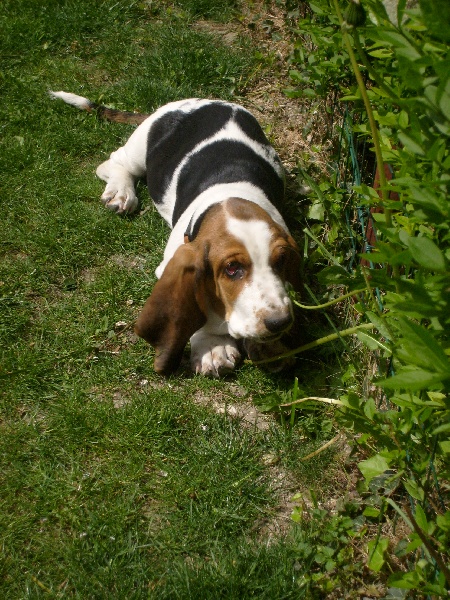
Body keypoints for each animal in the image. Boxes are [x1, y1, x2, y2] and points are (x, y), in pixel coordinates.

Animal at [50, 92, 302, 378]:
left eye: (281, 260)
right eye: (231, 268)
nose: (279, 322)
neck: (231, 191)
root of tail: (192, 101)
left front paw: (268, 348)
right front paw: (213, 347)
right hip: (139, 150)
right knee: (114, 162)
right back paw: (121, 193)